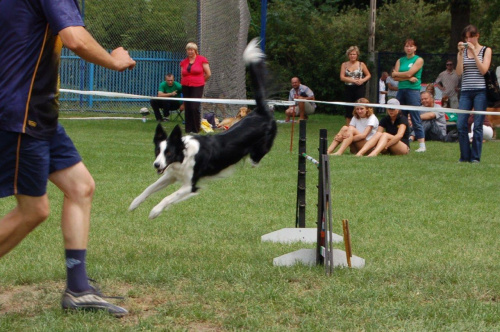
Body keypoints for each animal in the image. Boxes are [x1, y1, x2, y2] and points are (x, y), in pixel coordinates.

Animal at [129, 39, 276, 219]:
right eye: (158, 151)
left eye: (169, 152)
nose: (156, 165)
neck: (184, 154)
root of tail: (261, 111)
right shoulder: (170, 174)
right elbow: (149, 188)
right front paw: (134, 203)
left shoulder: (190, 184)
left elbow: (168, 197)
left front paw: (155, 211)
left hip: (257, 152)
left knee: (256, 159)